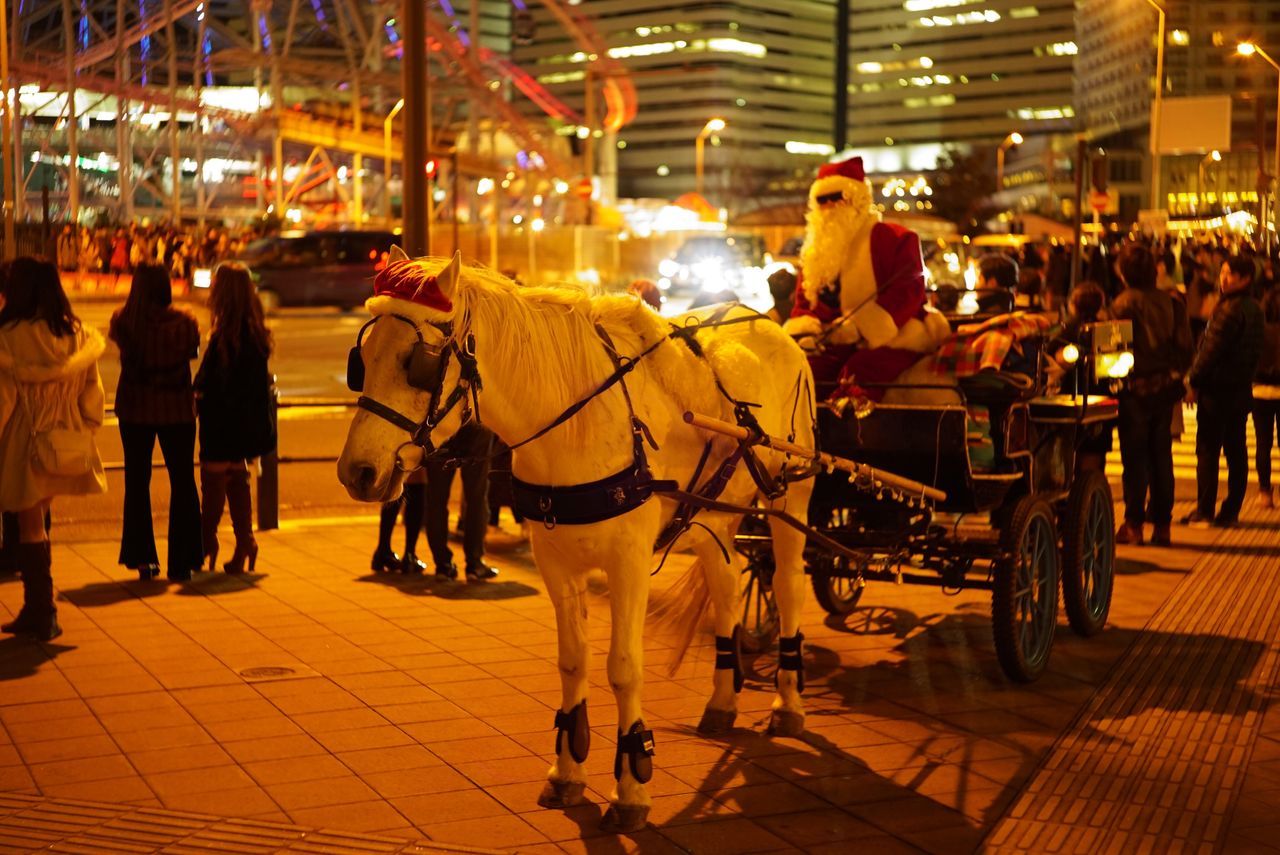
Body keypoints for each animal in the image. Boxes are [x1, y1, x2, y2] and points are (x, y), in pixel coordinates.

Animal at [337, 248, 819, 834]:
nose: (357, 472)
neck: (576, 423)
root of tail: (771, 326)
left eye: (418, 361)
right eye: (361, 358)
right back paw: (724, 701)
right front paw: (567, 771)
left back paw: (788, 706)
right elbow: (572, 662)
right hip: (711, 515)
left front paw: (632, 785)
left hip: (790, 499)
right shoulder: (556, 560)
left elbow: (623, 668)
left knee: (789, 589)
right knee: (727, 590)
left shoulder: (628, 563)